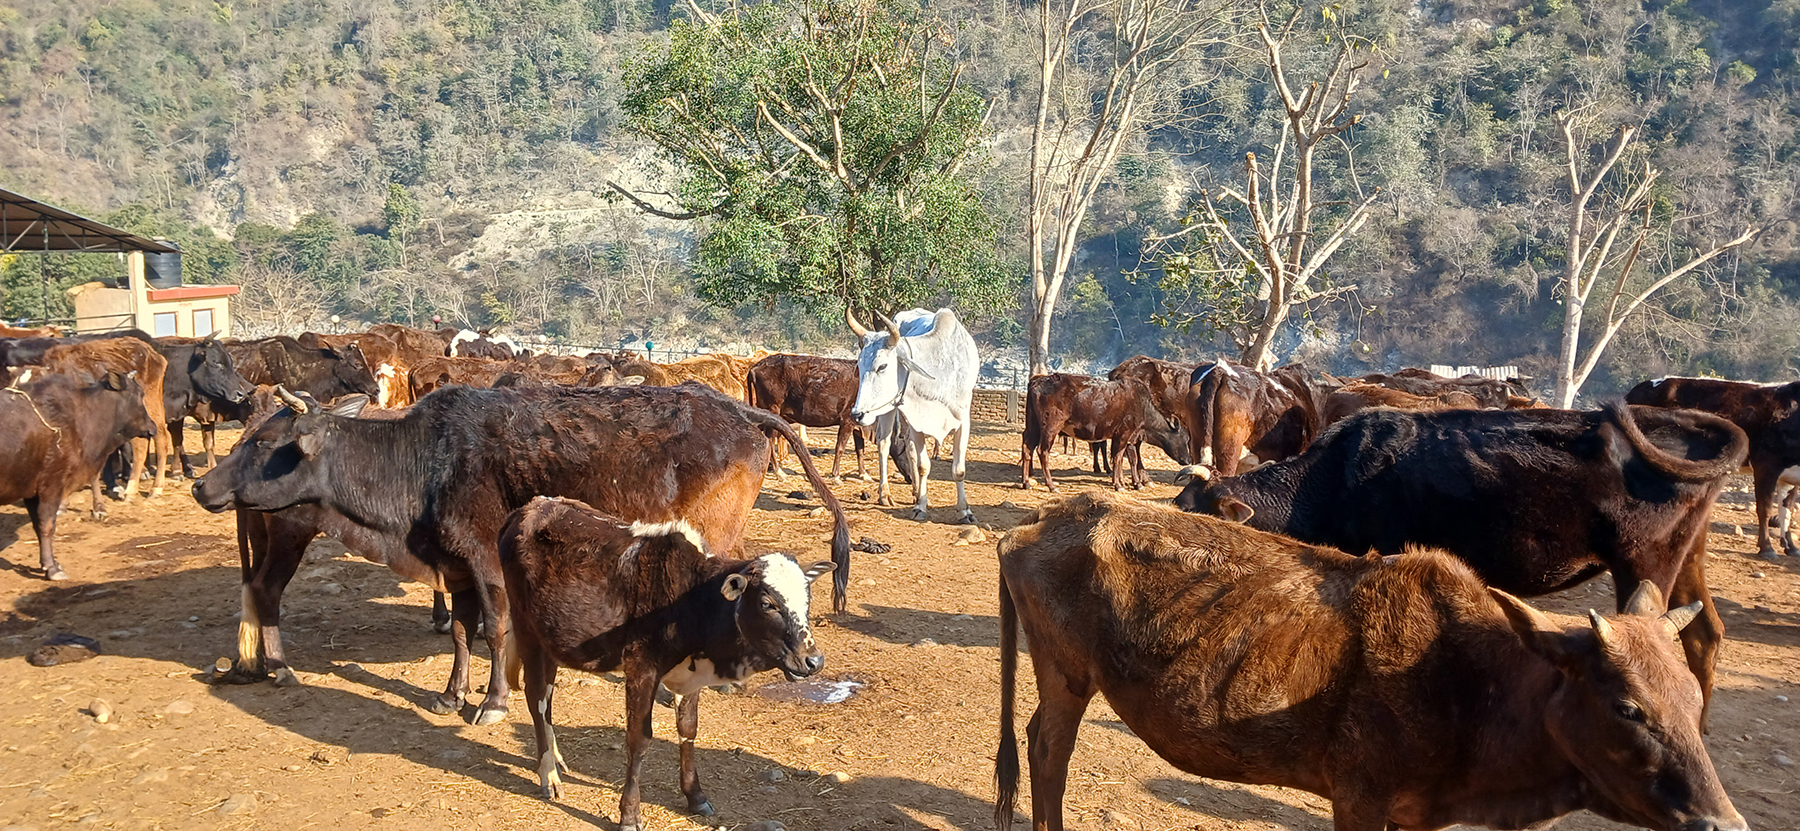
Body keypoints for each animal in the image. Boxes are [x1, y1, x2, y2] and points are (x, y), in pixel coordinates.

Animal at [849, 307, 979, 521]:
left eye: (882, 366)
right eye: (859, 365)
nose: (857, 414)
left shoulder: (963, 421)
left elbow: (959, 470)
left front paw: (965, 511)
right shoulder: (918, 421)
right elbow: (923, 465)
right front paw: (921, 506)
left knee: (908, 448)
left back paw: (916, 490)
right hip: (890, 409)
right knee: (885, 445)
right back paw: (886, 494)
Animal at [993, 489, 1749, 831]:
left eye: (1695, 704)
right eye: (1629, 708)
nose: (1723, 824)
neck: (1472, 679)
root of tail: (1047, 516)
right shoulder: (1359, 799)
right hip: (1066, 677)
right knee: (1047, 748)